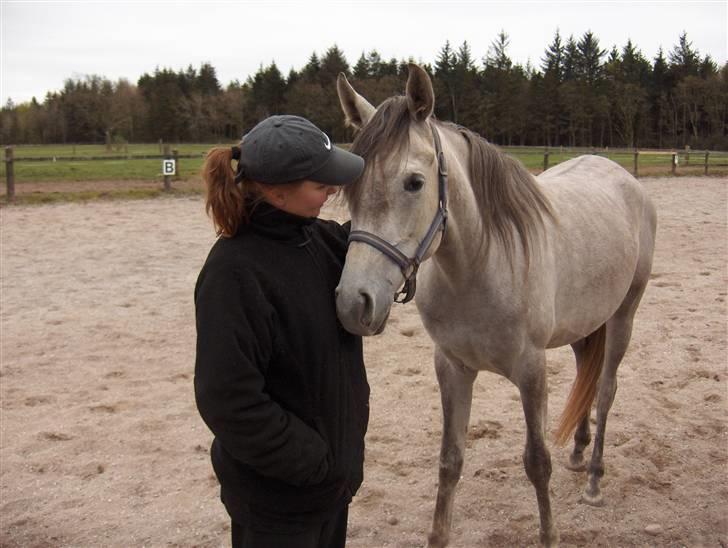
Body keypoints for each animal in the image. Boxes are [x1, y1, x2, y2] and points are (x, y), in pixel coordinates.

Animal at [336, 65, 660, 548]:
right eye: (350, 186)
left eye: (414, 183)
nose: (353, 303)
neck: (481, 264)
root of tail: (624, 178)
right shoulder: (452, 367)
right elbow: (450, 461)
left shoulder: (531, 370)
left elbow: (537, 463)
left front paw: (549, 535)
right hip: (584, 325)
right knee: (585, 374)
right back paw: (579, 451)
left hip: (624, 315)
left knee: (605, 389)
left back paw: (594, 480)